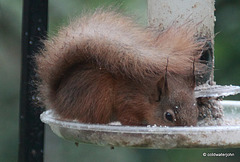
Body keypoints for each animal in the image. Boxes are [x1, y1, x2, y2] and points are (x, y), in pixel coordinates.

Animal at [35, 10, 206, 126]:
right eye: (168, 116)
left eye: (196, 110)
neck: (145, 96)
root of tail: (58, 101)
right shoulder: (127, 102)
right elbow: (127, 118)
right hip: (98, 92)